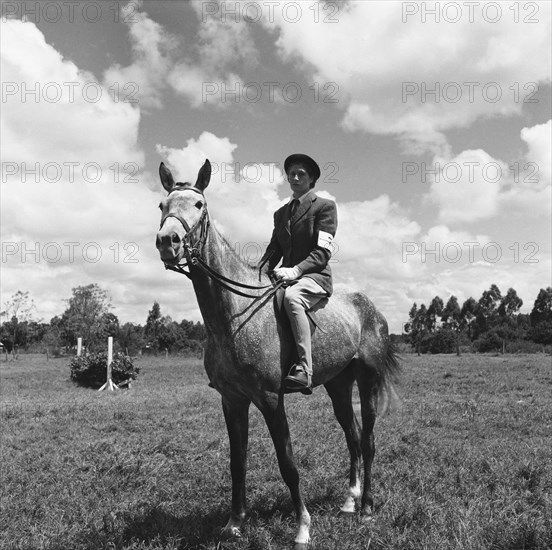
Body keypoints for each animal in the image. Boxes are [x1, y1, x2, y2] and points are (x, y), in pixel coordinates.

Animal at [155, 158, 402, 548]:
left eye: (199, 205)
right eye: (162, 206)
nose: (168, 241)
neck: (232, 315)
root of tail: (371, 308)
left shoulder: (271, 399)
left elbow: (287, 463)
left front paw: (302, 527)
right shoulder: (232, 400)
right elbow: (237, 462)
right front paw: (234, 523)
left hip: (368, 379)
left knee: (368, 440)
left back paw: (365, 509)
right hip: (338, 385)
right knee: (352, 436)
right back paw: (349, 501)